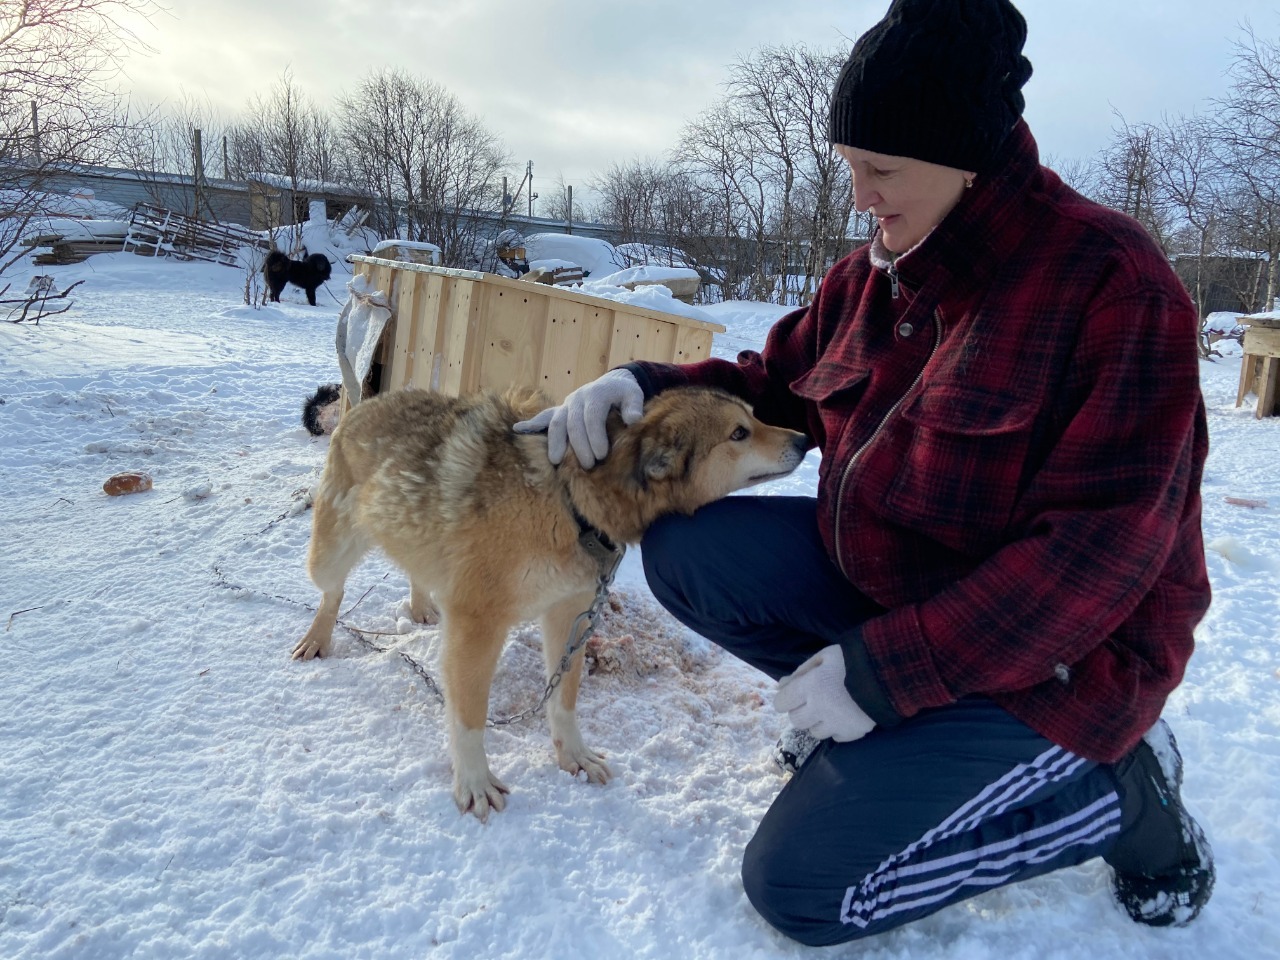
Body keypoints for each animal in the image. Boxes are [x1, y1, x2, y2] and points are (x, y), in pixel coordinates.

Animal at [294, 386, 803, 824]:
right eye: (739, 433)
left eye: (755, 417)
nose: (803, 438)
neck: (570, 502)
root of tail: (369, 399)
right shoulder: (478, 626)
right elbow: (470, 719)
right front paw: (475, 783)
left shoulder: (570, 616)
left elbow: (564, 702)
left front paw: (573, 756)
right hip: (329, 556)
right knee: (332, 593)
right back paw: (317, 640)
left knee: (415, 570)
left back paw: (421, 607)